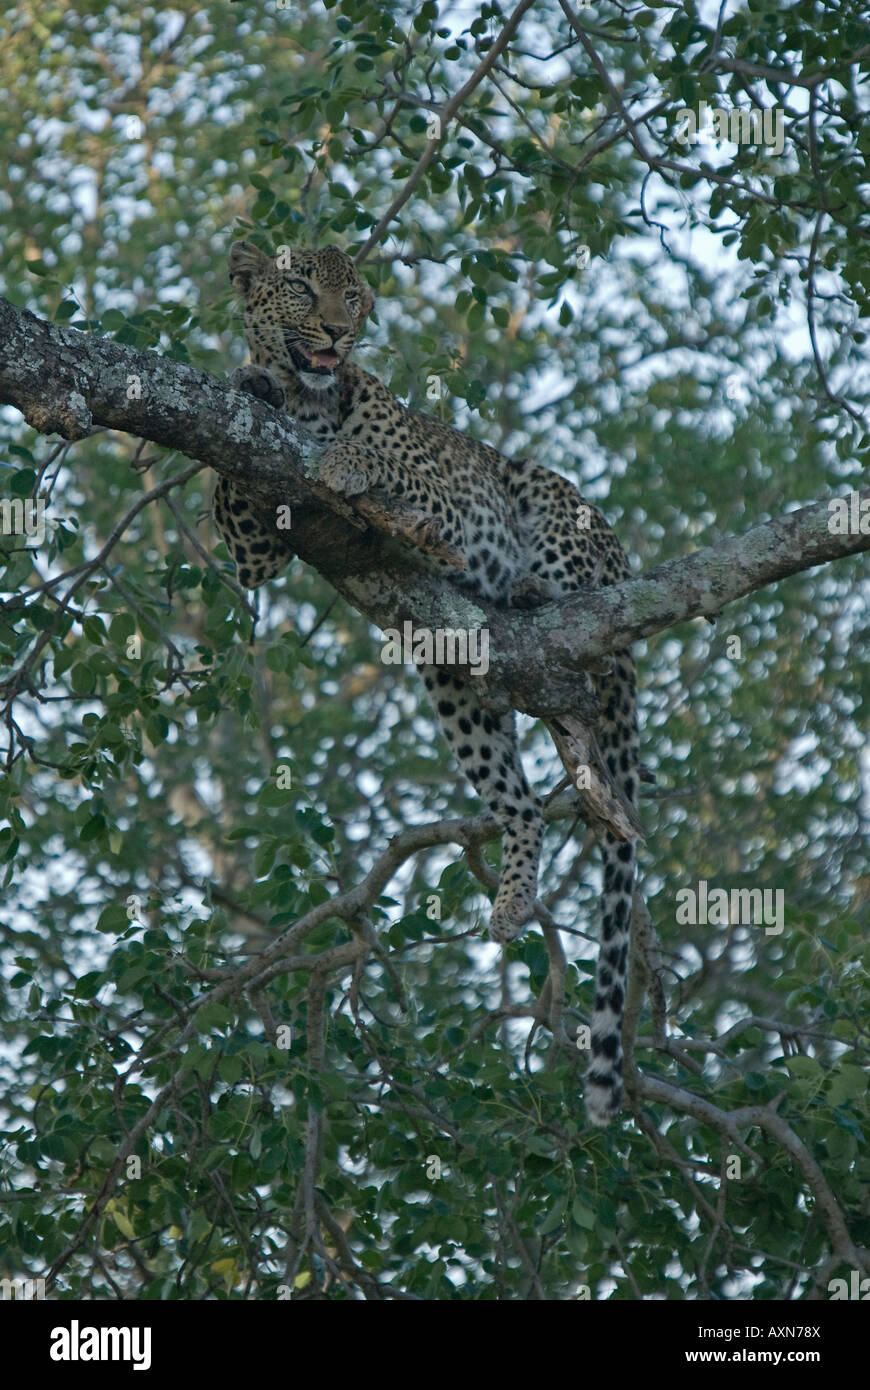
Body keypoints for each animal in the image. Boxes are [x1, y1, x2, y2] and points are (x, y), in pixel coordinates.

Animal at [214, 239, 640, 1126]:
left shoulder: (440, 498)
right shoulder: (257, 548)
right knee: (520, 806)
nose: (339, 334)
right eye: (302, 287)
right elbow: (232, 481)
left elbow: (386, 465)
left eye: (356, 297)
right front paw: (250, 382)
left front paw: (345, 459)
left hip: (546, 499)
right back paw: (511, 904)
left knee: (581, 602)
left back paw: (537, 594)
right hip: (453, 684)